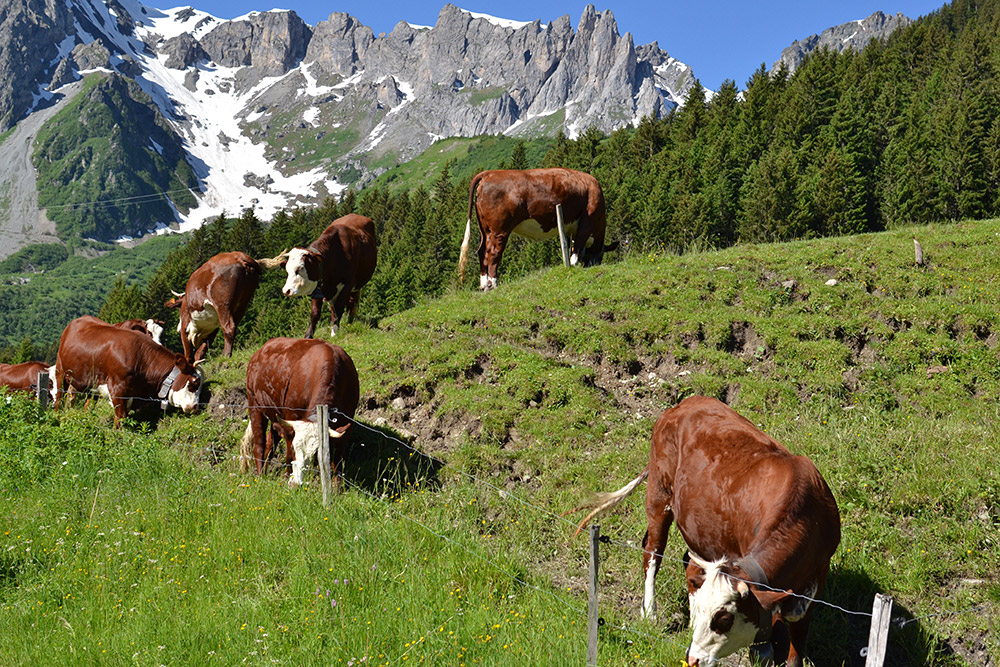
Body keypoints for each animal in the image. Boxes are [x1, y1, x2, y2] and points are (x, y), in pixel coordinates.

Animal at [55, 314, 205, 428]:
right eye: (194, 383)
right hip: (60, 370)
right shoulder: (118, 391)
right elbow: (120, 419)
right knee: (59, 397)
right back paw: (56, 418)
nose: (195, 407)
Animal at [239, 342, 360, 488]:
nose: (295, 483)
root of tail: (261, 350)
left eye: (315, 453)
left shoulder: (347, 422)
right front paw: (287, 477)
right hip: (254, 406)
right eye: (294, 447)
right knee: (259, 444)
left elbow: (338, 457)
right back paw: (261, 474)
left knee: (270, 441)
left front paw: (338, 486)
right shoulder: (291, 417)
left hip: (275, 415)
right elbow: (289, 454)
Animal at [460, 168, 616, 288]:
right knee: (493, 253)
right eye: (601, 256)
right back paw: (493, 283)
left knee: (481, 252)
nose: (595, 265)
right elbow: (576, 249)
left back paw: (483, 284)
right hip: (499, 231)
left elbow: (568, 246)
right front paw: (573, 264)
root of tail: (489, 173)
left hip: (485, 230)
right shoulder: (586, 223)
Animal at [572, 396, 836, 667]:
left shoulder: (816, 579)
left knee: (689, 563)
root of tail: (682, 405)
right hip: (658, 495)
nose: (692, 658)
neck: (804, 515)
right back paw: (650, 613)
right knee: (653, 551)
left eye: (723, 619)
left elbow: (797, 641)